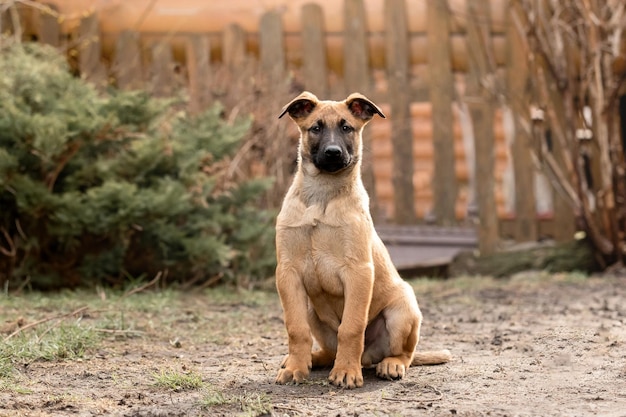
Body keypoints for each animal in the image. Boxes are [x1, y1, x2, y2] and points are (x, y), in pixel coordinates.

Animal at [274, 92, 448, 388]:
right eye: (315, 128)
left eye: (347, 128)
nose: (333, 153)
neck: (322, 196)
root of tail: (367, 357)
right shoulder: (288, 273)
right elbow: (296, 328)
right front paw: (296, 367)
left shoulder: (358, 272)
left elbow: (351, 327)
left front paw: (346, 372)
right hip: (311, 308)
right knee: (328, 349)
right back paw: (312, 359)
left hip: (403, 309)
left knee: (405, 354)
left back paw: (389, 365)